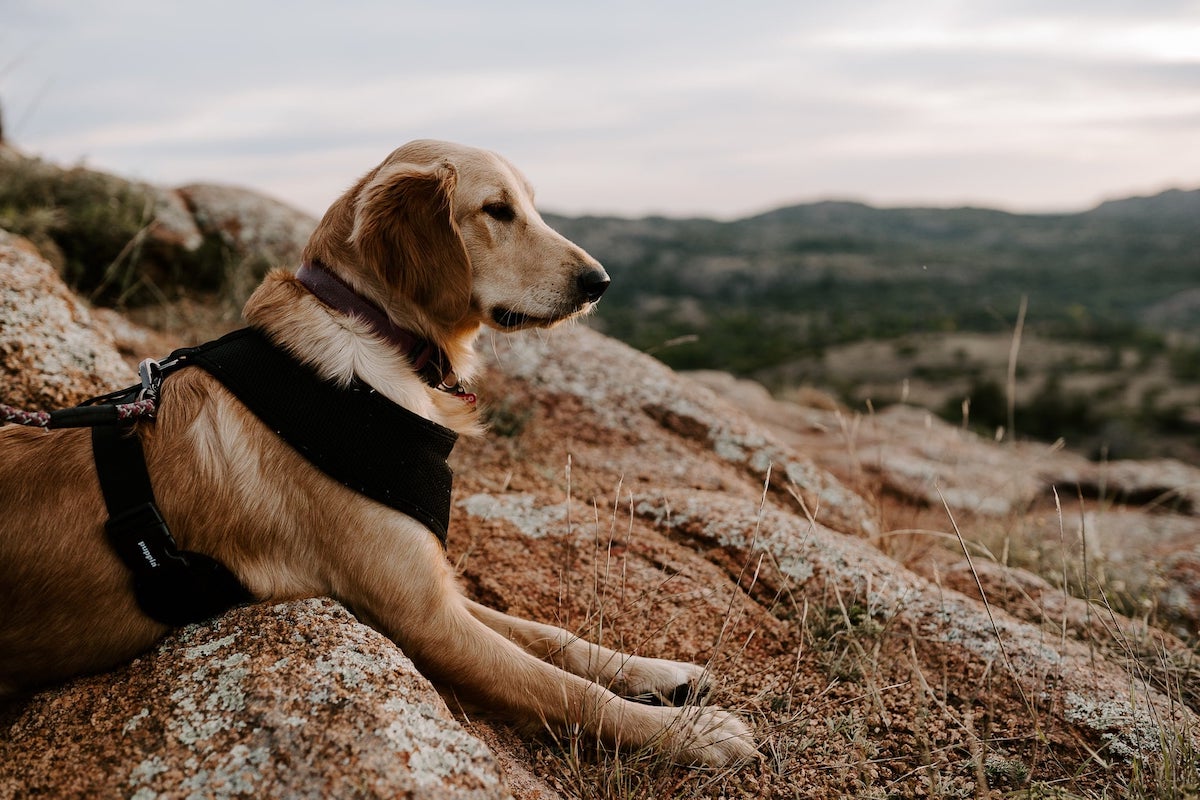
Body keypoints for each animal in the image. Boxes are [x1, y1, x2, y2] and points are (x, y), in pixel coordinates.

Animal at [0, 140, 753, 767]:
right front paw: (693, 734)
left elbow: (551, 637)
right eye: (497, 211)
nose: (600, 281)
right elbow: (563, 688)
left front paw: (661, 674)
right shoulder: (424, 619)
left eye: (533, 205)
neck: (377, 335)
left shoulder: (428, 586)